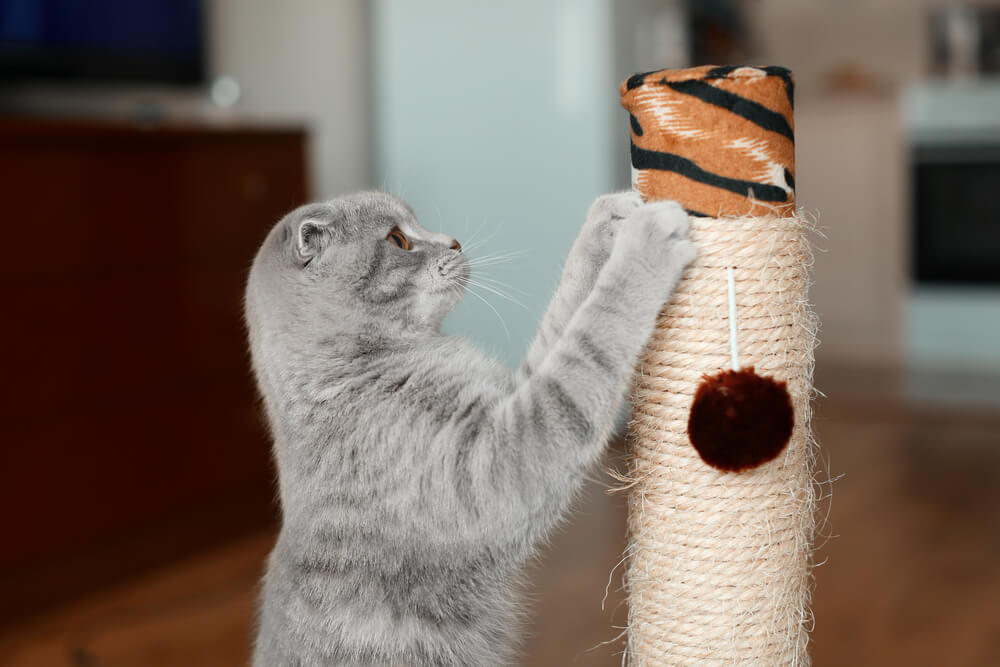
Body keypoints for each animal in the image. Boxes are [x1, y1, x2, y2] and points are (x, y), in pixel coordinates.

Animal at [245, 190, 692, 664]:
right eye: (398, 240)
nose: (454, 242)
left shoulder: (510, 394)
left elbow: (568, 312)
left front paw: (608, 218)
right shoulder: (505, 459)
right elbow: (593, 337)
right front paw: (646, 240)